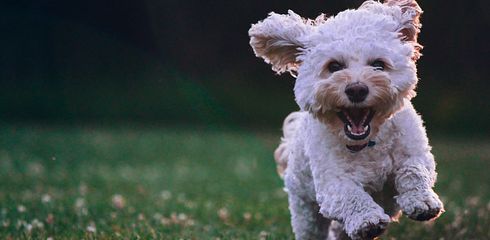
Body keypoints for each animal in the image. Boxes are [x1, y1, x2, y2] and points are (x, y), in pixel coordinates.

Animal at [249, 0, 444, 239]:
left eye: (378, 64)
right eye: (334, 66)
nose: (357, 89)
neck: (367, 143)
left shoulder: (415, 152)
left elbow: (414, 170)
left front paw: (422, 201)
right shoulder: (332, 183)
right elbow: (351, 195)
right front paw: (367, 220)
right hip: (305, 209)